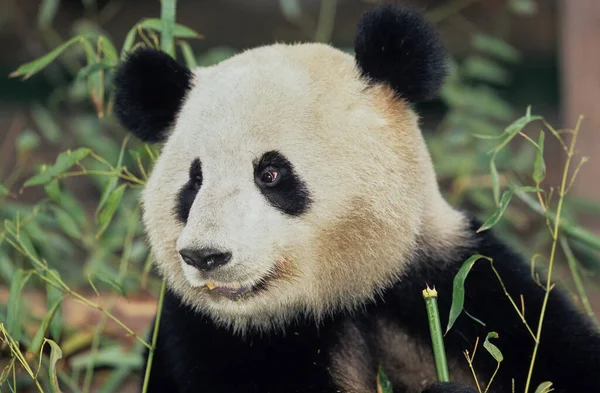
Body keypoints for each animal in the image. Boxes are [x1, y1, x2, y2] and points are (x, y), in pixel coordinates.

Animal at [112, 3, 600, 392]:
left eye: (270, 174)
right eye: (194, 182)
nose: (205, 256)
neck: (342, 296)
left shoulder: (455, 281)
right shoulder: (213, 337)